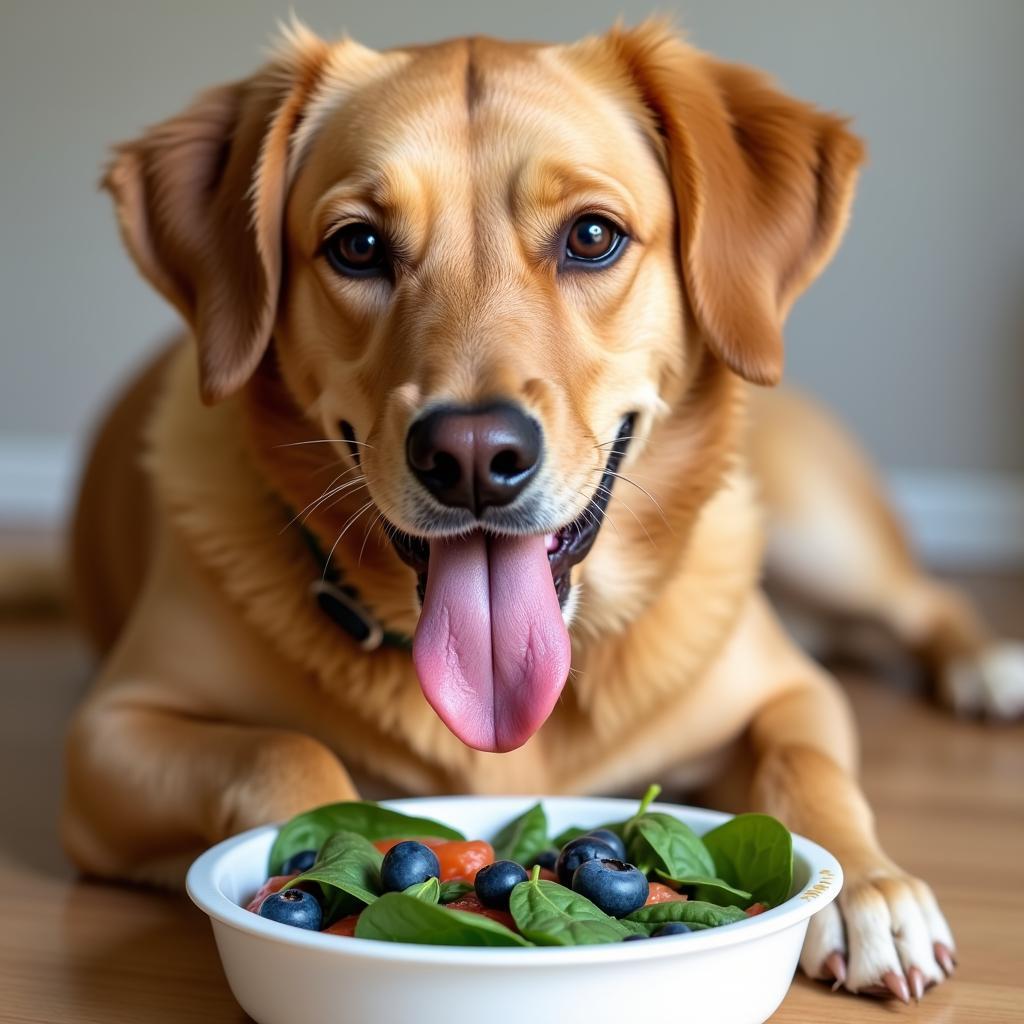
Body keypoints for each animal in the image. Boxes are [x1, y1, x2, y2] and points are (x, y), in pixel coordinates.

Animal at [66, 18, 1024, 999]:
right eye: (358, 247)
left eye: (592, 236)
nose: (472, 459)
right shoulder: (108, 734)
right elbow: (286, 751)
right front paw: (313, 887)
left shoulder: (794, 691)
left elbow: (807, 764)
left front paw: (870, 888)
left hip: (824, 537)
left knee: (926, 601)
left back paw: (986, 669)